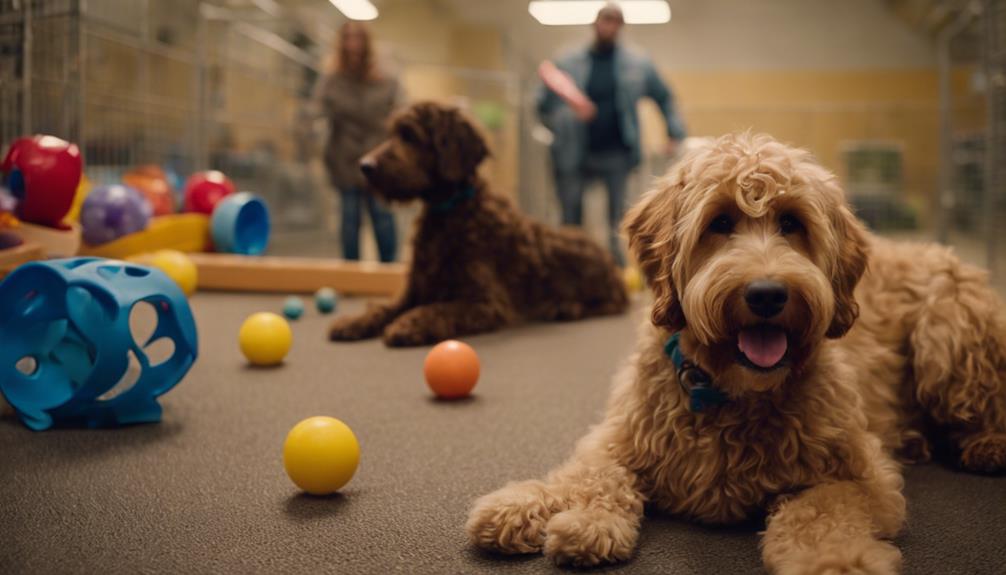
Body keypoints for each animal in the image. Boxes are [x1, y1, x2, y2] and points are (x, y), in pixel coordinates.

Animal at [329, 101, 627, 347]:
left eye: (410, 136)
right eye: (392, 134)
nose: (365, 165)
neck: (450, 212)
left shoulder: (487, 303)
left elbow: (442, 308)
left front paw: (409, 324)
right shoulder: (414, 289)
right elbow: (383, 307)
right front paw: (353, 322)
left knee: (613, 303)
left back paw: (565, 307)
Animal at [464, 133, 1006, 570]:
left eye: (791, 223)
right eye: (719, 222)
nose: (766, 294)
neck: (726, 389)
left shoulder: (863, 478)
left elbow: (819, 511)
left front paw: (834, 561)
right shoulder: (619, 435)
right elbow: (593, 473)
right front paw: (540, 508)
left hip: (949, 331)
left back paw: (985, 445)